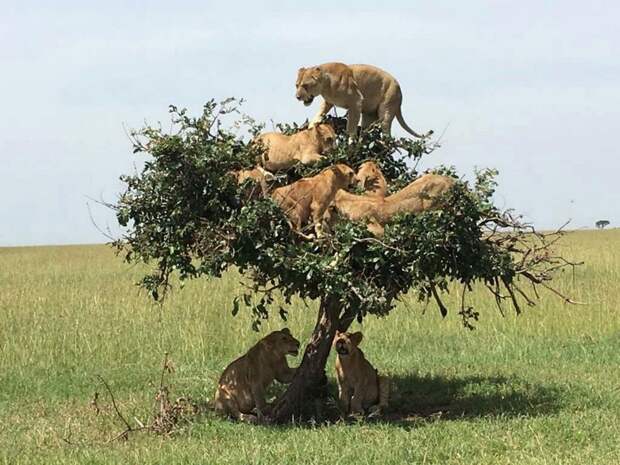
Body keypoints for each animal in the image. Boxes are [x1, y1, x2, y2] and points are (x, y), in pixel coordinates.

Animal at [294, 62, 432, 140]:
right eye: (297, 85)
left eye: (305, 85)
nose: (297, 97)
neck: (326, 84)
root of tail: (400, 91)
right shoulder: (328, 102)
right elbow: (319, 113)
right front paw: (311, 126)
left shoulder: (356, 102)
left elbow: (351, 127)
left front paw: (350, 143)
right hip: (368, 115)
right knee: (365, 130)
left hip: (387, 109)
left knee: (387, 133)